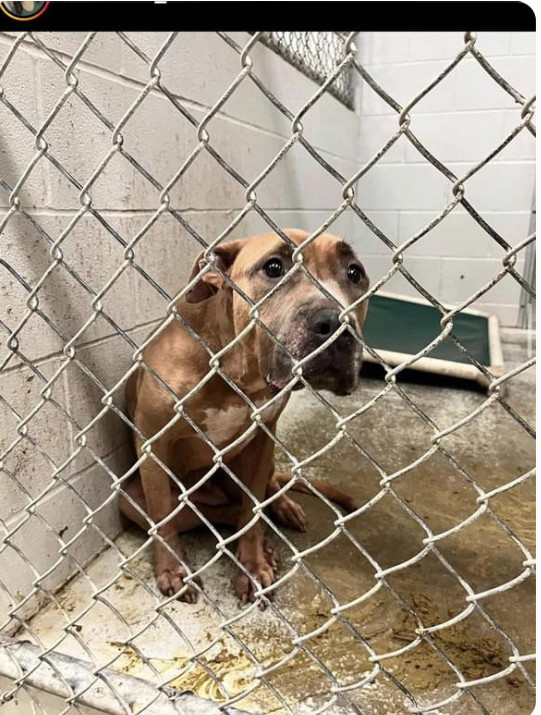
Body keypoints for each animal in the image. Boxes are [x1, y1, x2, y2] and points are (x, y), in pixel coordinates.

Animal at [120, 229, 370, 604]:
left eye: (355, 273)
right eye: (274, 267)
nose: (337, 324)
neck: (238, 372)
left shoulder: (262, 438)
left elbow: (252, 508)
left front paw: (251, 563)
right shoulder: (153, 442)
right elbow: (163, 516)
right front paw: (172, 570)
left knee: (258, 496)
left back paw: (279, 512)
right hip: (129, 498)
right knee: (213, 513)